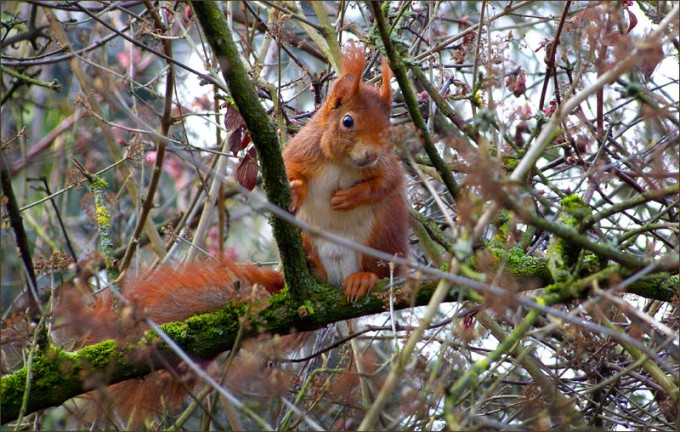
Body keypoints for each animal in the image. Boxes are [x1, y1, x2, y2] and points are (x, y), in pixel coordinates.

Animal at [68, 42, 409, 425]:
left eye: (388, 126)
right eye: (348, 121)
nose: (370, 153)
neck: (342, 164)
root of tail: (335, 280)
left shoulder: (387, 168)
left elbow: (388, 181)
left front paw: (352, 195)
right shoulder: (300, 152)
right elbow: (289, 173)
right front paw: (295, 192)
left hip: (386, 231)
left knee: (384, 261)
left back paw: (364, 278)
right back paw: (312, 264)